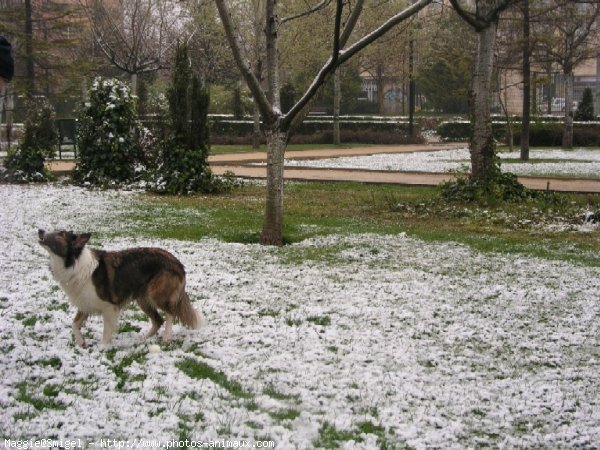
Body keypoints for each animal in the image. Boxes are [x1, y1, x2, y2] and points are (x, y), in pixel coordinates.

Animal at [38, 230, 206, 346]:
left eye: (60, 233)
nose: (40, 231)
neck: (75, 263)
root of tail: (178, 263)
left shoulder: (109, 307)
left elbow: (106, 332)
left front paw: (102, 347)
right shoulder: (85, 304)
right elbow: (74, 325)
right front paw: (81, 342)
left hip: (157, 294)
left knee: (170, 313)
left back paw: (167, 337)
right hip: (143, 300)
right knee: (158, 320)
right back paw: (144, 338)